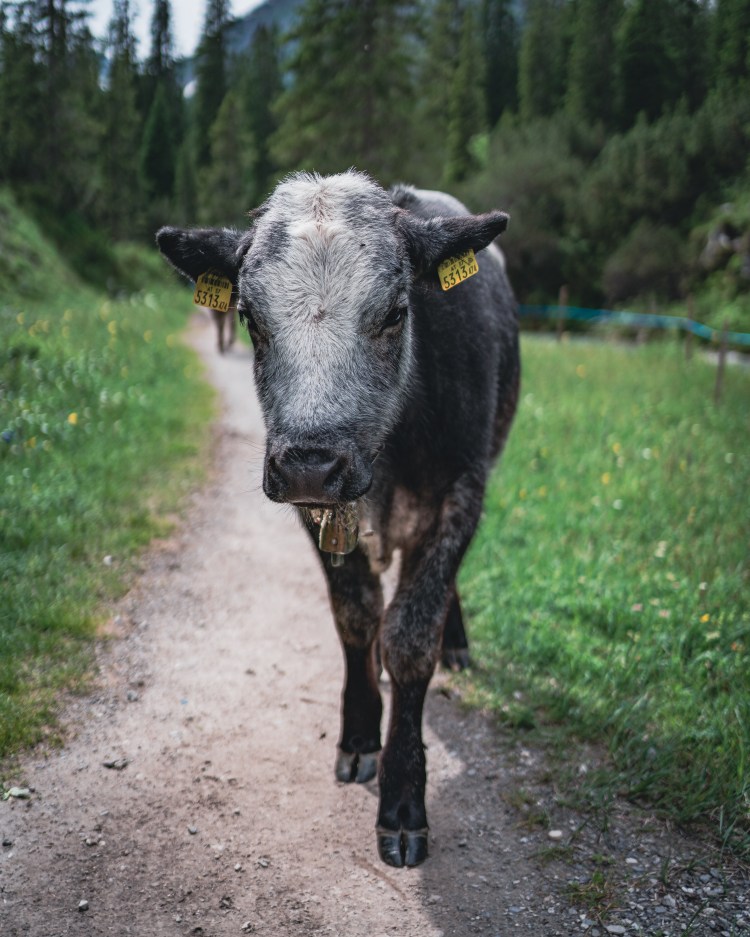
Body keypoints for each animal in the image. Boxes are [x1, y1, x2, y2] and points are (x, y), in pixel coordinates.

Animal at [156, 170, 520, 868]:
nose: (310, 464)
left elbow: (411, 636)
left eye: (397, 312)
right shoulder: (316, 513)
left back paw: (456, 641)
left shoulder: (464, 491)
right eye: (249, 316)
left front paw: (403, 801)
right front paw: (357, 735)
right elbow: (355, 617)